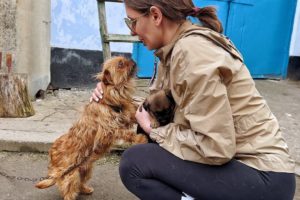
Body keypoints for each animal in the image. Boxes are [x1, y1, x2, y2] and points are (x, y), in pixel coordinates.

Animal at [35, 55, 148, 200]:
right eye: (120, 64)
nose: (132, 59)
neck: (109, 98)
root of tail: (52, 159)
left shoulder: (125, 115)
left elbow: (132, 115)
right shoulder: (109, 130)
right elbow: (125, 133)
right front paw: (140, 138)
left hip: (85, 168)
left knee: (80, 183)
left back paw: (86, 189)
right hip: (71, 175)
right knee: (69, 190)